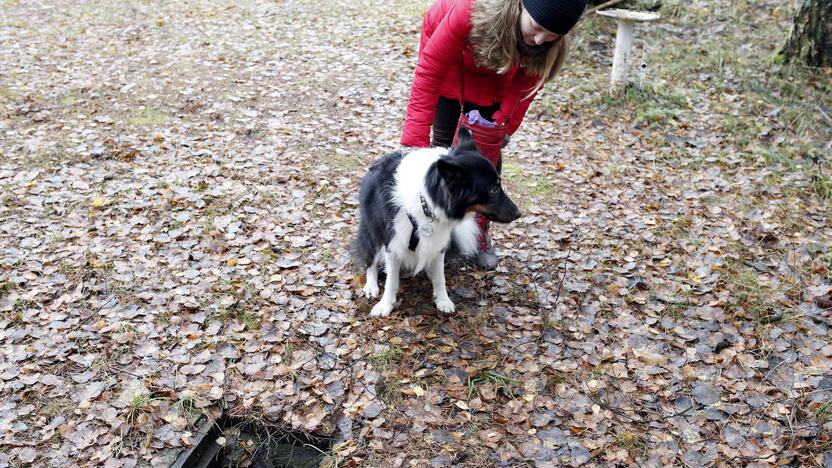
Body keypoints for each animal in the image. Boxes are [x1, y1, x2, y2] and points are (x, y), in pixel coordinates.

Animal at [352, 130, 520, 316]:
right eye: (493, 190)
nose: (518, 214)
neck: (425, 201)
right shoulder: (393, 243)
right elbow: (391, 281)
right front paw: (385, 305)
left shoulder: (438, 243)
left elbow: (440, 278)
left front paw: (443, 300)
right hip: (372, 232)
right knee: (370, 261)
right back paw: (371, 285)